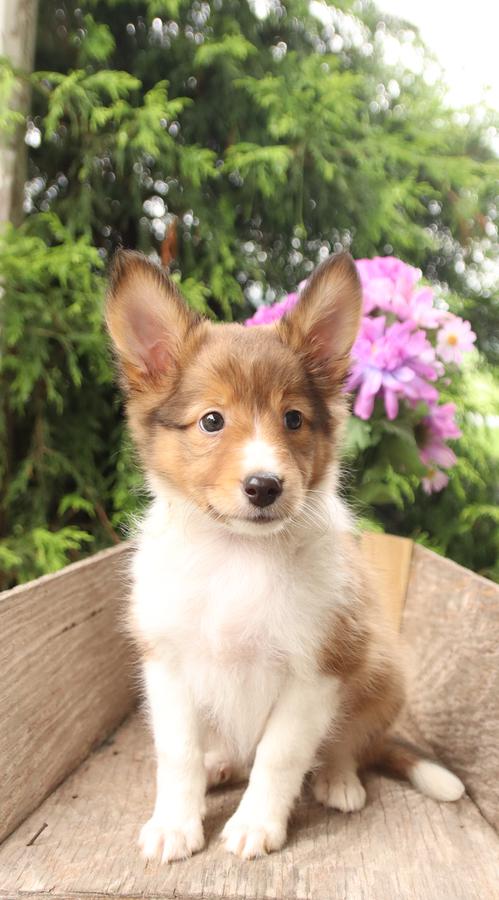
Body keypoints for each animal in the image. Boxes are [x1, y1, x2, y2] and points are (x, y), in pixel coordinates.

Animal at [105, 250, 464, 860]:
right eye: (212, 420)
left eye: (293, 418)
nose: (265, 486)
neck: (236, 556)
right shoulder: (167, 664)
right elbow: (176, 754)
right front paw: (175, 824)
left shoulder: (317, 670)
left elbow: (280, 756)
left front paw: (256, 825)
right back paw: (220, 766)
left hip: (380, 671)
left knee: (348, 745)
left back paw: (338, 780)